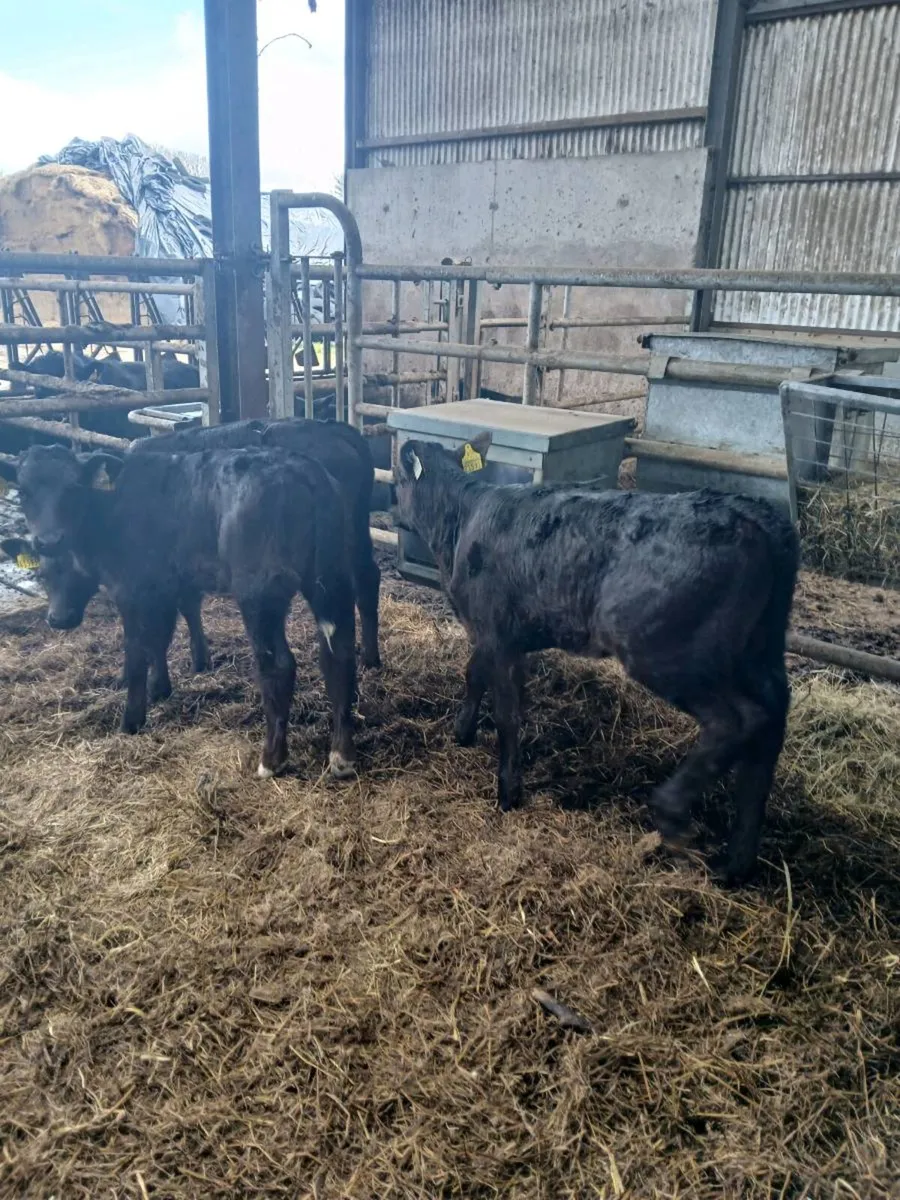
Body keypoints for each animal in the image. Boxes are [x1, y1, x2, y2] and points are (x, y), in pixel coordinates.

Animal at [0, 443, 357, 780]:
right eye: (24, 491)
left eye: (72, 488)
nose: (49, 541)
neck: (107, 517)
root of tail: (306, 471)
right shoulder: (165, 588)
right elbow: (160, 639)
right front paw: (160, 688)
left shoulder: (132, 590)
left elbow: (136, 652)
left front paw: (130, 720)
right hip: (333, 578)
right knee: (338, 654)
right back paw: (342, 756)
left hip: (260, 591)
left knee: (278, 665)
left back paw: (271, 760)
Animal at [393, 433, 798, 885]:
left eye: (398, 479)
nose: (392, 512)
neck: (462, 519)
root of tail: (755, 513)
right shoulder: (494, 635)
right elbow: (474, 675)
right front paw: (463, 732)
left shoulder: (497, 634)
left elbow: (507, 714)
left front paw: (507, 793)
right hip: (760, 651)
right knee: (771, 721)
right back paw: (737, 860)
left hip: (668, 653)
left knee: (739, 720)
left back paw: (671, 814)